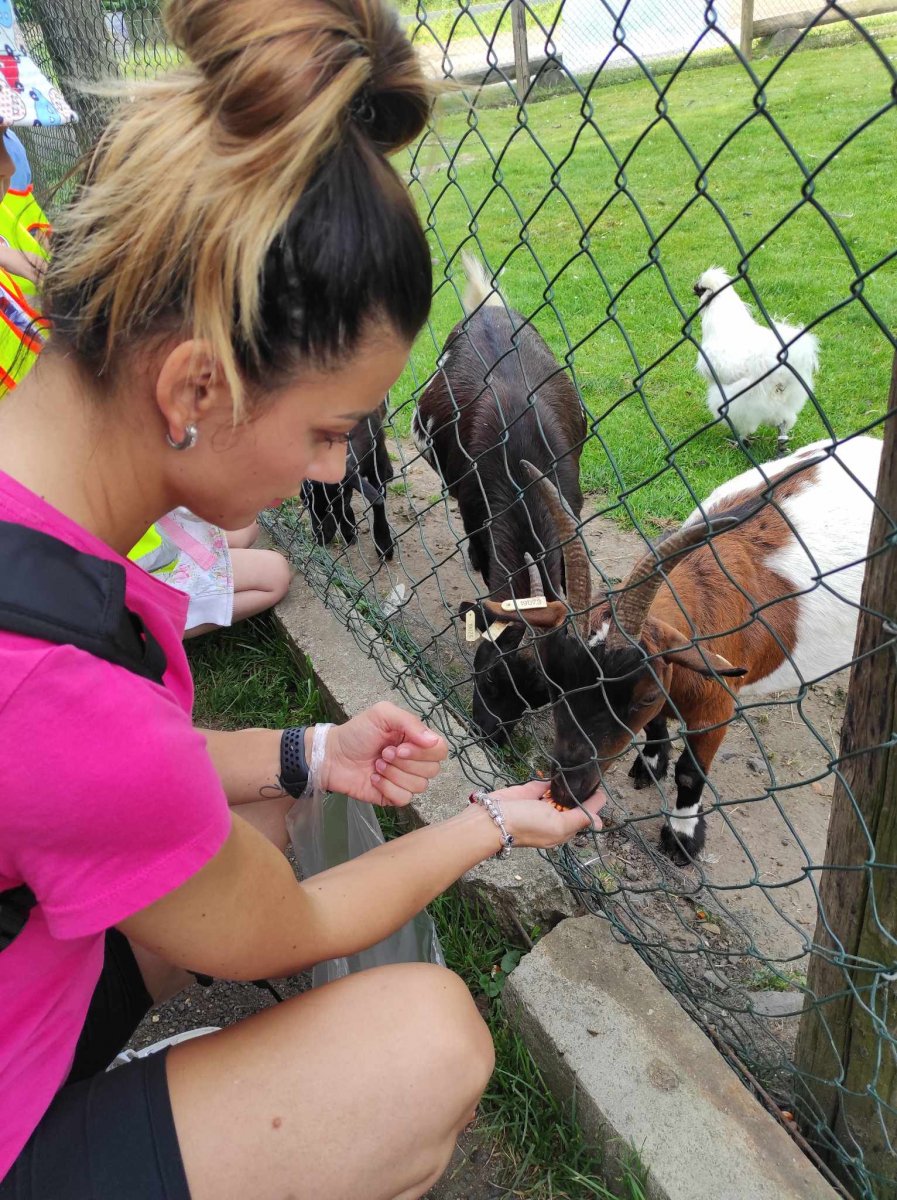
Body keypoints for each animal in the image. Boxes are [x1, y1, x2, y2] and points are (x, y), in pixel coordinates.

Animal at [302, 402, 395, 561]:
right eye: (306, 504)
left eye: (335, 506)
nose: (319, 539)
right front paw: (349, 532)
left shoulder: (377, 461)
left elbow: (379, 500)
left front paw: (384, 545)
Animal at [412, 253, 587, 742]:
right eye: (489, 676)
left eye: (540, 697)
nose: (488, 735)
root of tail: (486, 305)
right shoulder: (473, 500)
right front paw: (477, 559)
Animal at [463, 437, 881, 863]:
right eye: (551, 683)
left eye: (645, 695)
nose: (567, 792)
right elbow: (654, 727)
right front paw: (650, 764)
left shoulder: (716, 710)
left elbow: (689, 773)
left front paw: (681, 837)